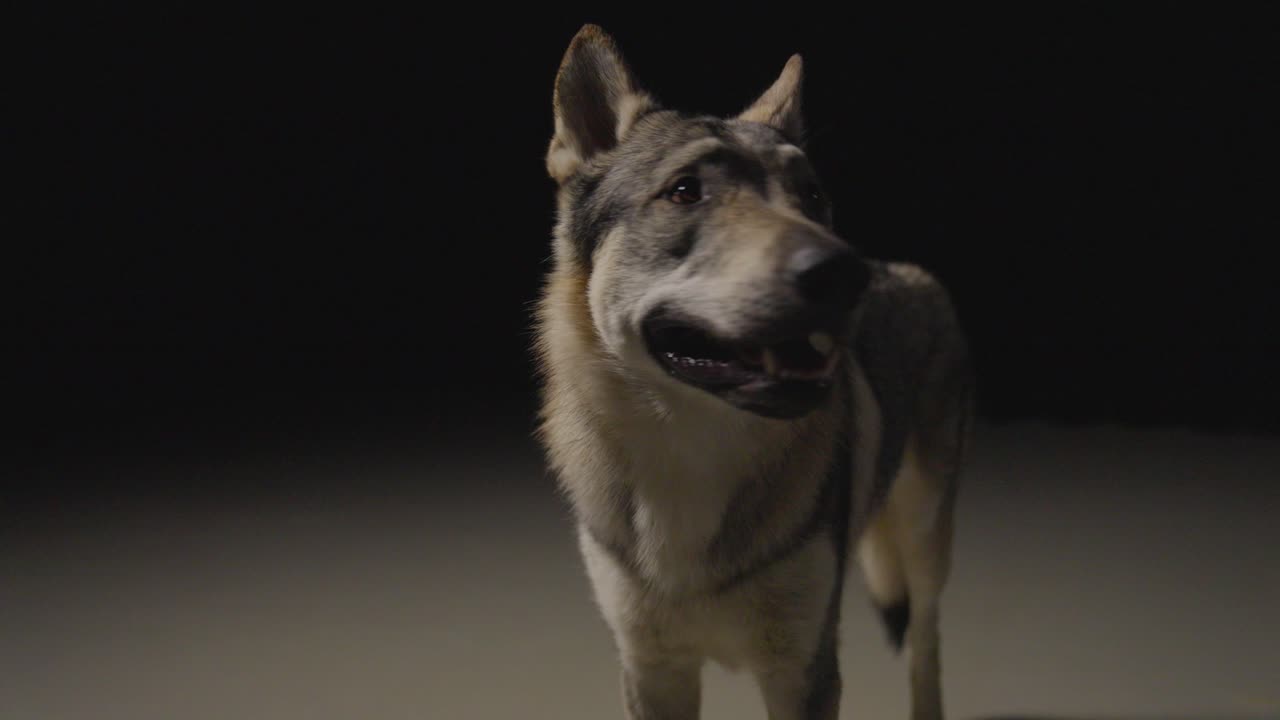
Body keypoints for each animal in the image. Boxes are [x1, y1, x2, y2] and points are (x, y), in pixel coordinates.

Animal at [534, 24, 974, 720]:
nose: (844, 274)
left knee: (925, 644)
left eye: (812, 197)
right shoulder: (653, 671)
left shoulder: (805, 671)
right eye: (685, 190)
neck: (689, 458)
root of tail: (901, 268)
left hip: (926, 535)